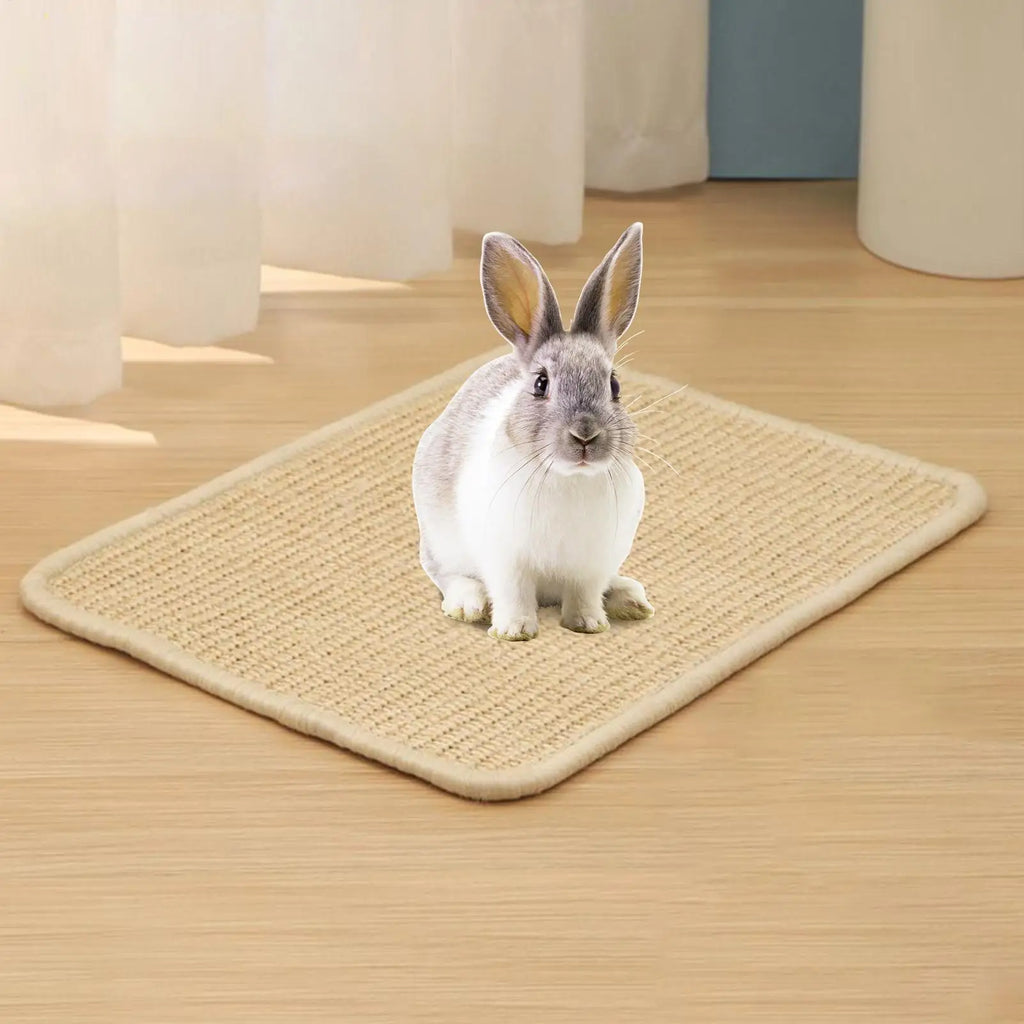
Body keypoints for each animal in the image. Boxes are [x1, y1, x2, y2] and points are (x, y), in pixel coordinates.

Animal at [412, 223, 654, 641]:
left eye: (614, 385)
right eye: (541, 384)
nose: (585, 435)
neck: (569, 477)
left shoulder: (592, 562)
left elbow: (585, 594)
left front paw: (588, 624)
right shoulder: (506, 559)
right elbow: (514, 594)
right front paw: (514, 631)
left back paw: (630, 599)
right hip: (441, 540)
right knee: (447, 575)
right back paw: (468, 605)